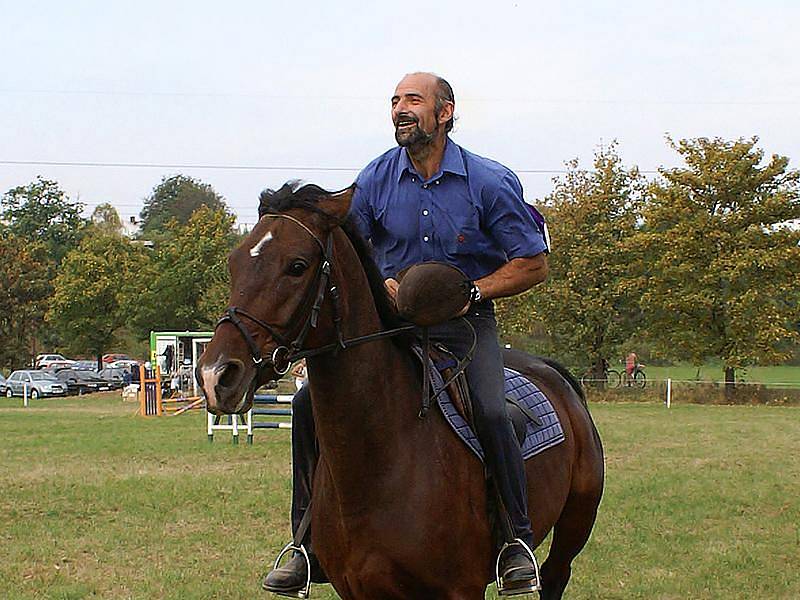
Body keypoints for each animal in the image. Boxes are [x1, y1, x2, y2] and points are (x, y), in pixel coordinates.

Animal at [197, 184, 604, 600]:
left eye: (297, 266)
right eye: (233, 263)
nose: (216, 375)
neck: (383, 458)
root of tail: (550, 371)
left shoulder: (462, 589)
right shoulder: (356, 589)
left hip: (575, 526)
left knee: (554, 574)